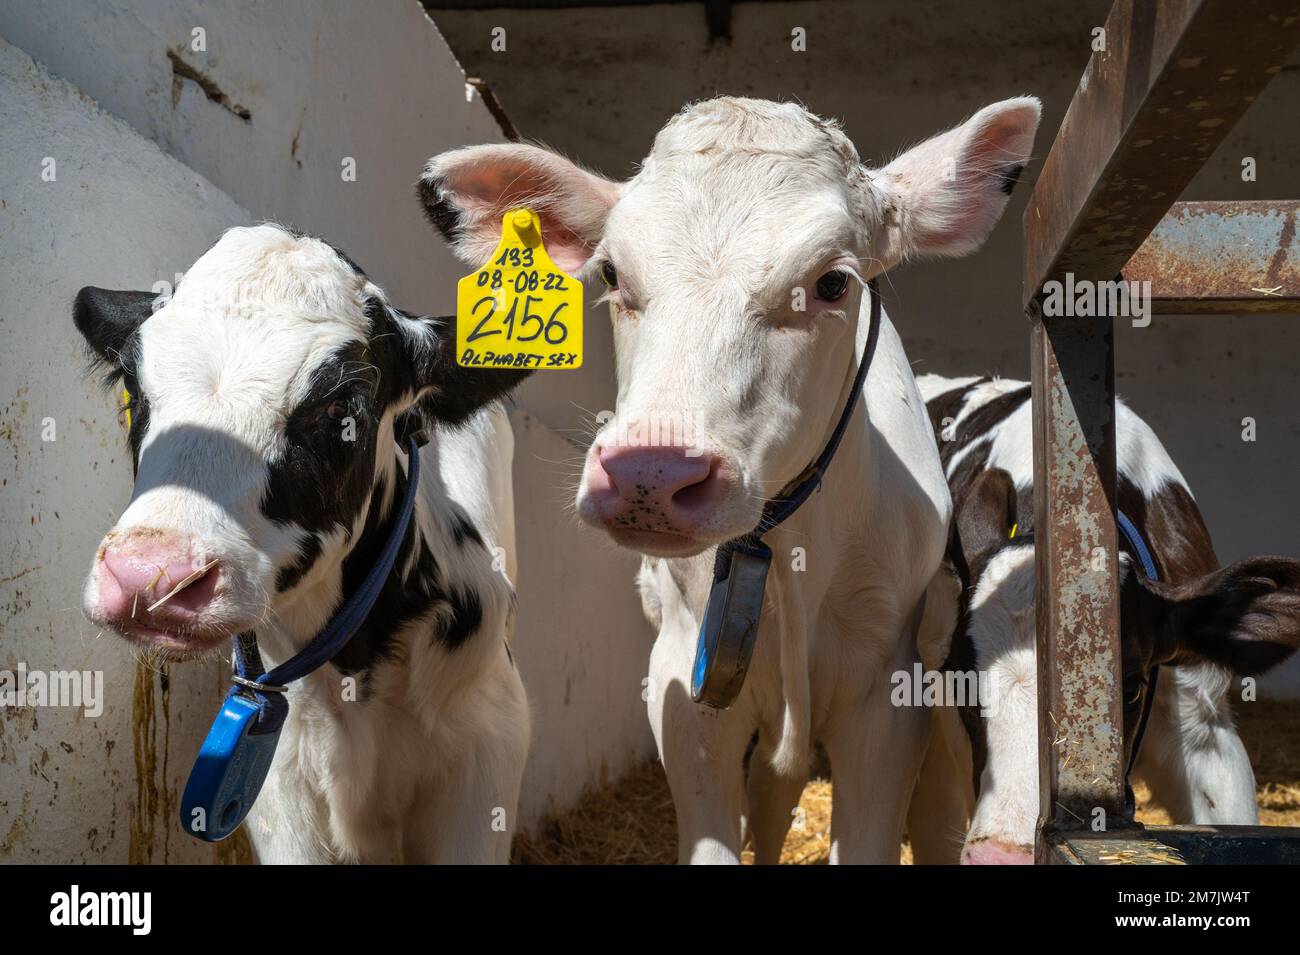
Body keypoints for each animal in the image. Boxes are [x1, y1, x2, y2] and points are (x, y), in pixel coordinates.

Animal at [426, 93, 1045, 862]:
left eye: (832, 282)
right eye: (612, 275)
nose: (651, 472)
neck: (785, 554)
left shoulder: (887, 699)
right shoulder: (681, 683)